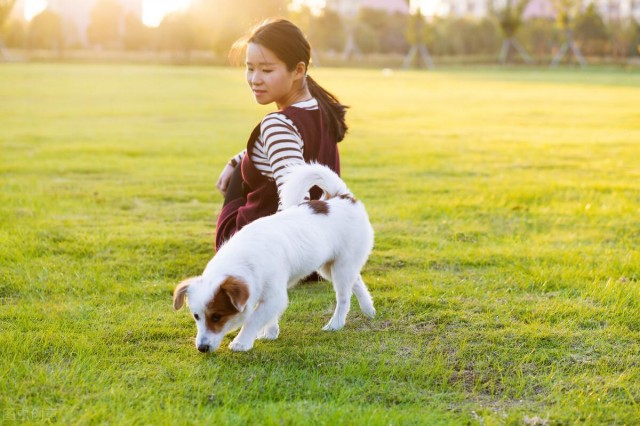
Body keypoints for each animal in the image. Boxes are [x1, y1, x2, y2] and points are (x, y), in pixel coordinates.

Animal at [175, 163, 376, 352]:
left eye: (217, 316)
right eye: (196, 316)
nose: (202, 348)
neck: (245, 260)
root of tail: (339, 196)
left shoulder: (275, 296)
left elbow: (254, 319)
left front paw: (241, 342)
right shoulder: (266, 294)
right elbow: (268, 317)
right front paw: (270, 333)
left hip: (341, 266)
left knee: (344, 297)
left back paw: (335, 324)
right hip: (328, 267)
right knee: (356, 280)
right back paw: (368, 309)